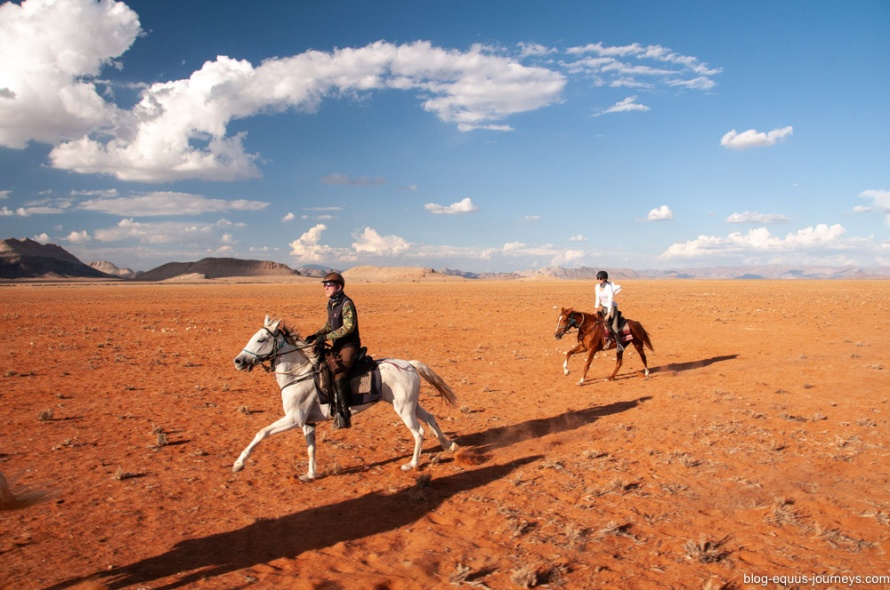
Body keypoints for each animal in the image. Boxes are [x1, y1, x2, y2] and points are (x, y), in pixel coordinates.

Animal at [232, 316, 458, 484]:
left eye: (261, 340)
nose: (239, 361)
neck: (299, 374)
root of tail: (409, 365)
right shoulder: (308, 422)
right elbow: (311, 448)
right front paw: (310, 475)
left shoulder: (294, 418)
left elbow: (261, 432)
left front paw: (239, 463)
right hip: (410, 404)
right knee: (430, 418)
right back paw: (449, 445)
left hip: (403, 408)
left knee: (419, 432)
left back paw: (412, 464)